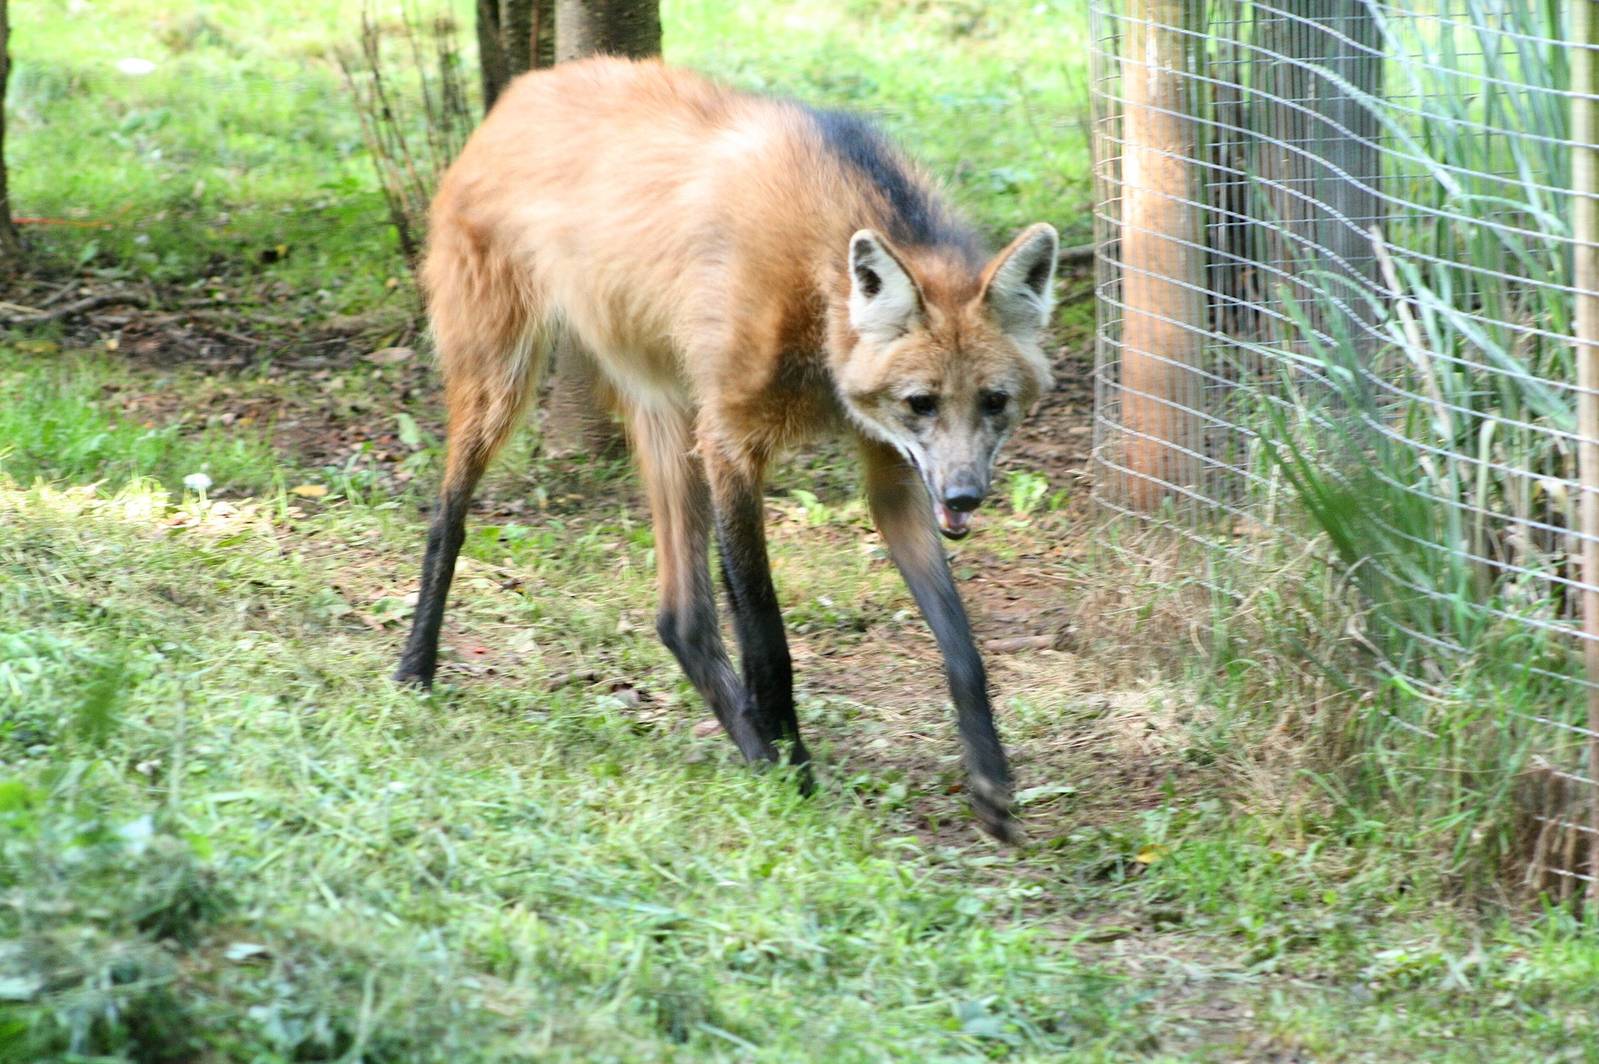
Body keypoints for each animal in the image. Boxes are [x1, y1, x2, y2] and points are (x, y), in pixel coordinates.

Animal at [394, 58, 1058, 840]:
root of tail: (524, 87)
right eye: (920, 403)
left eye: (993, 402)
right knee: (448, 517)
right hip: (509, 378)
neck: (819, 297)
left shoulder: (891, 470)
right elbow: (767, 635)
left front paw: (989, 782)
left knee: (680, 617)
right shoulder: (734, 446)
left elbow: (960, 640)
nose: (962, 496)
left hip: (668, 407)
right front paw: (796, 775)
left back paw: (750, 747)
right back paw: (415, 670)